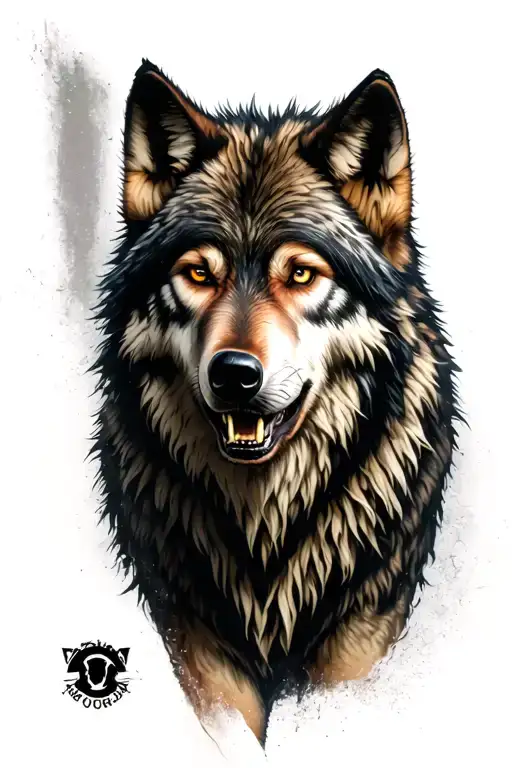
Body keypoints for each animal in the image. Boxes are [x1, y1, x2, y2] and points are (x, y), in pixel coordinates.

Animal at [91, 59, 461, 745]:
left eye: (301, 274)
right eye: (199, 274)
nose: (234, 374)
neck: (265, 536)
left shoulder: (361, 635)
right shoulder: (195, 642)